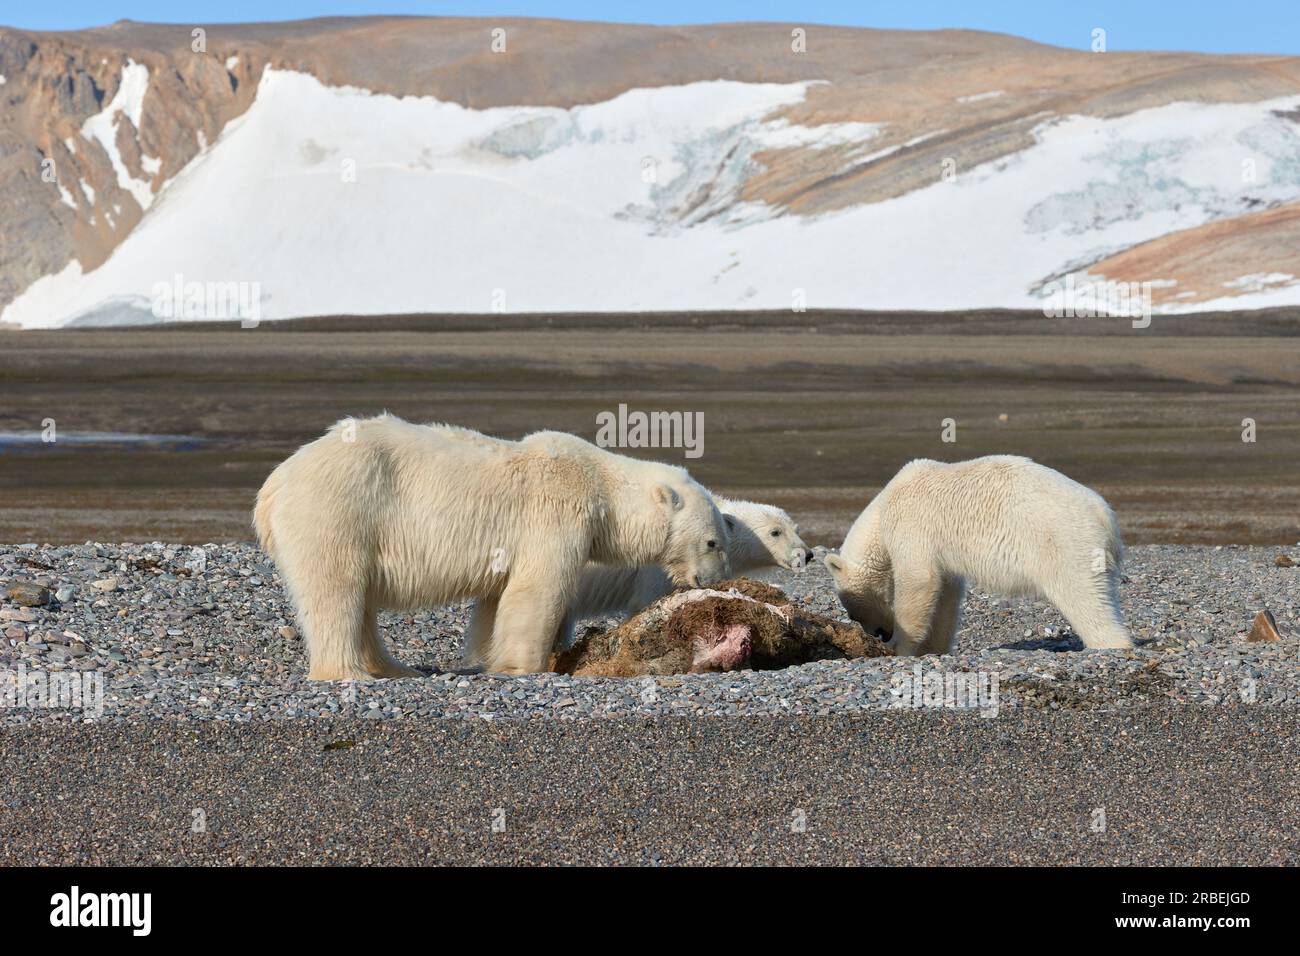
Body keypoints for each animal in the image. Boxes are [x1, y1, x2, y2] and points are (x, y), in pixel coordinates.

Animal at [250, 416, 733, 681]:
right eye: (713, 542)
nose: (716, 580)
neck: (601, 486)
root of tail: (272, 487)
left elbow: (496, 601)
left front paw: (490, 657)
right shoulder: (556, 513)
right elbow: (538, 589)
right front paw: (529, 665)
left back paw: (393, 668)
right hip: (340, 508)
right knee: (337, 590)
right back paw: (349, 672)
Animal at [821, 457, 1128, 658]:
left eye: (852, 612)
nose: (878, 633)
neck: (882, 508)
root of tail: (1104, 515)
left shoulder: (911, 525)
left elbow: (918, 580)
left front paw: (899, 646)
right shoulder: (942, 555)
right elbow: (945, 595)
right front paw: (935, 649)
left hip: (1063, 541)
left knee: (1084, 596)